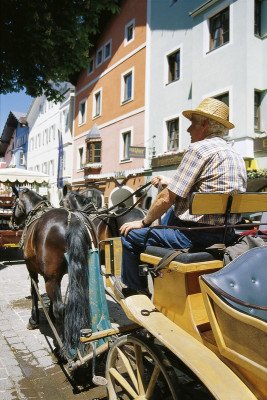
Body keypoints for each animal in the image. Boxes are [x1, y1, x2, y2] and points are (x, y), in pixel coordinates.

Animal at [10, 188, 97, 360]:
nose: (11, 222)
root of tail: (72, 218)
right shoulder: (58, 276)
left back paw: (61, 348)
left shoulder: (32, 270)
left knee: (60, 308)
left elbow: (34, 292)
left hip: (51, 279)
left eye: (14, 203)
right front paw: (48, 314)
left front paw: (33, 319)